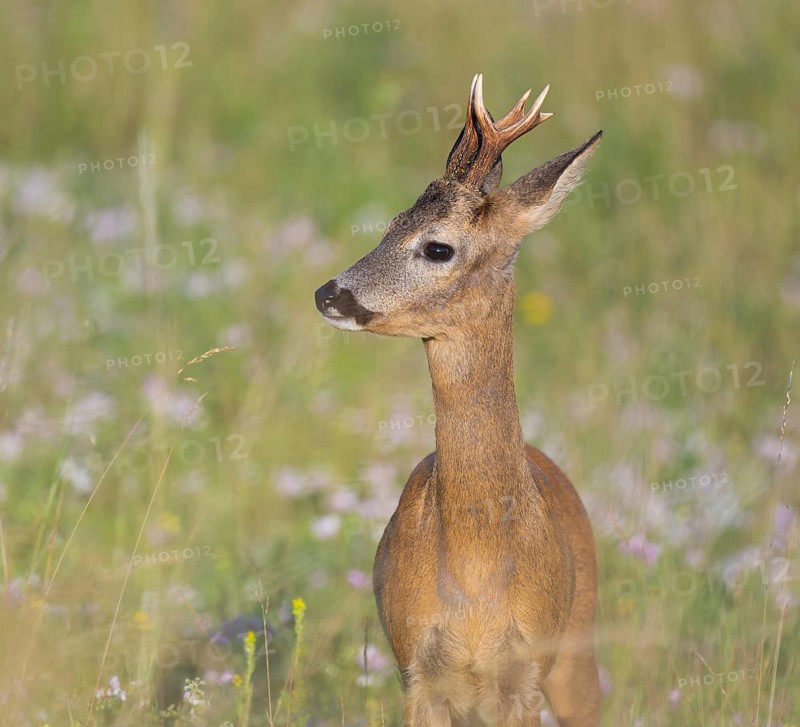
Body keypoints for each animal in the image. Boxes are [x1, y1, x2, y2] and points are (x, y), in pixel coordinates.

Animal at [315, 74, 602, 726]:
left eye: (438, 248)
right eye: (391, 221)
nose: (328, 294)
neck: (476, 576)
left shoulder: (525, 675)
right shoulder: (415, 669)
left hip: (578, 645)